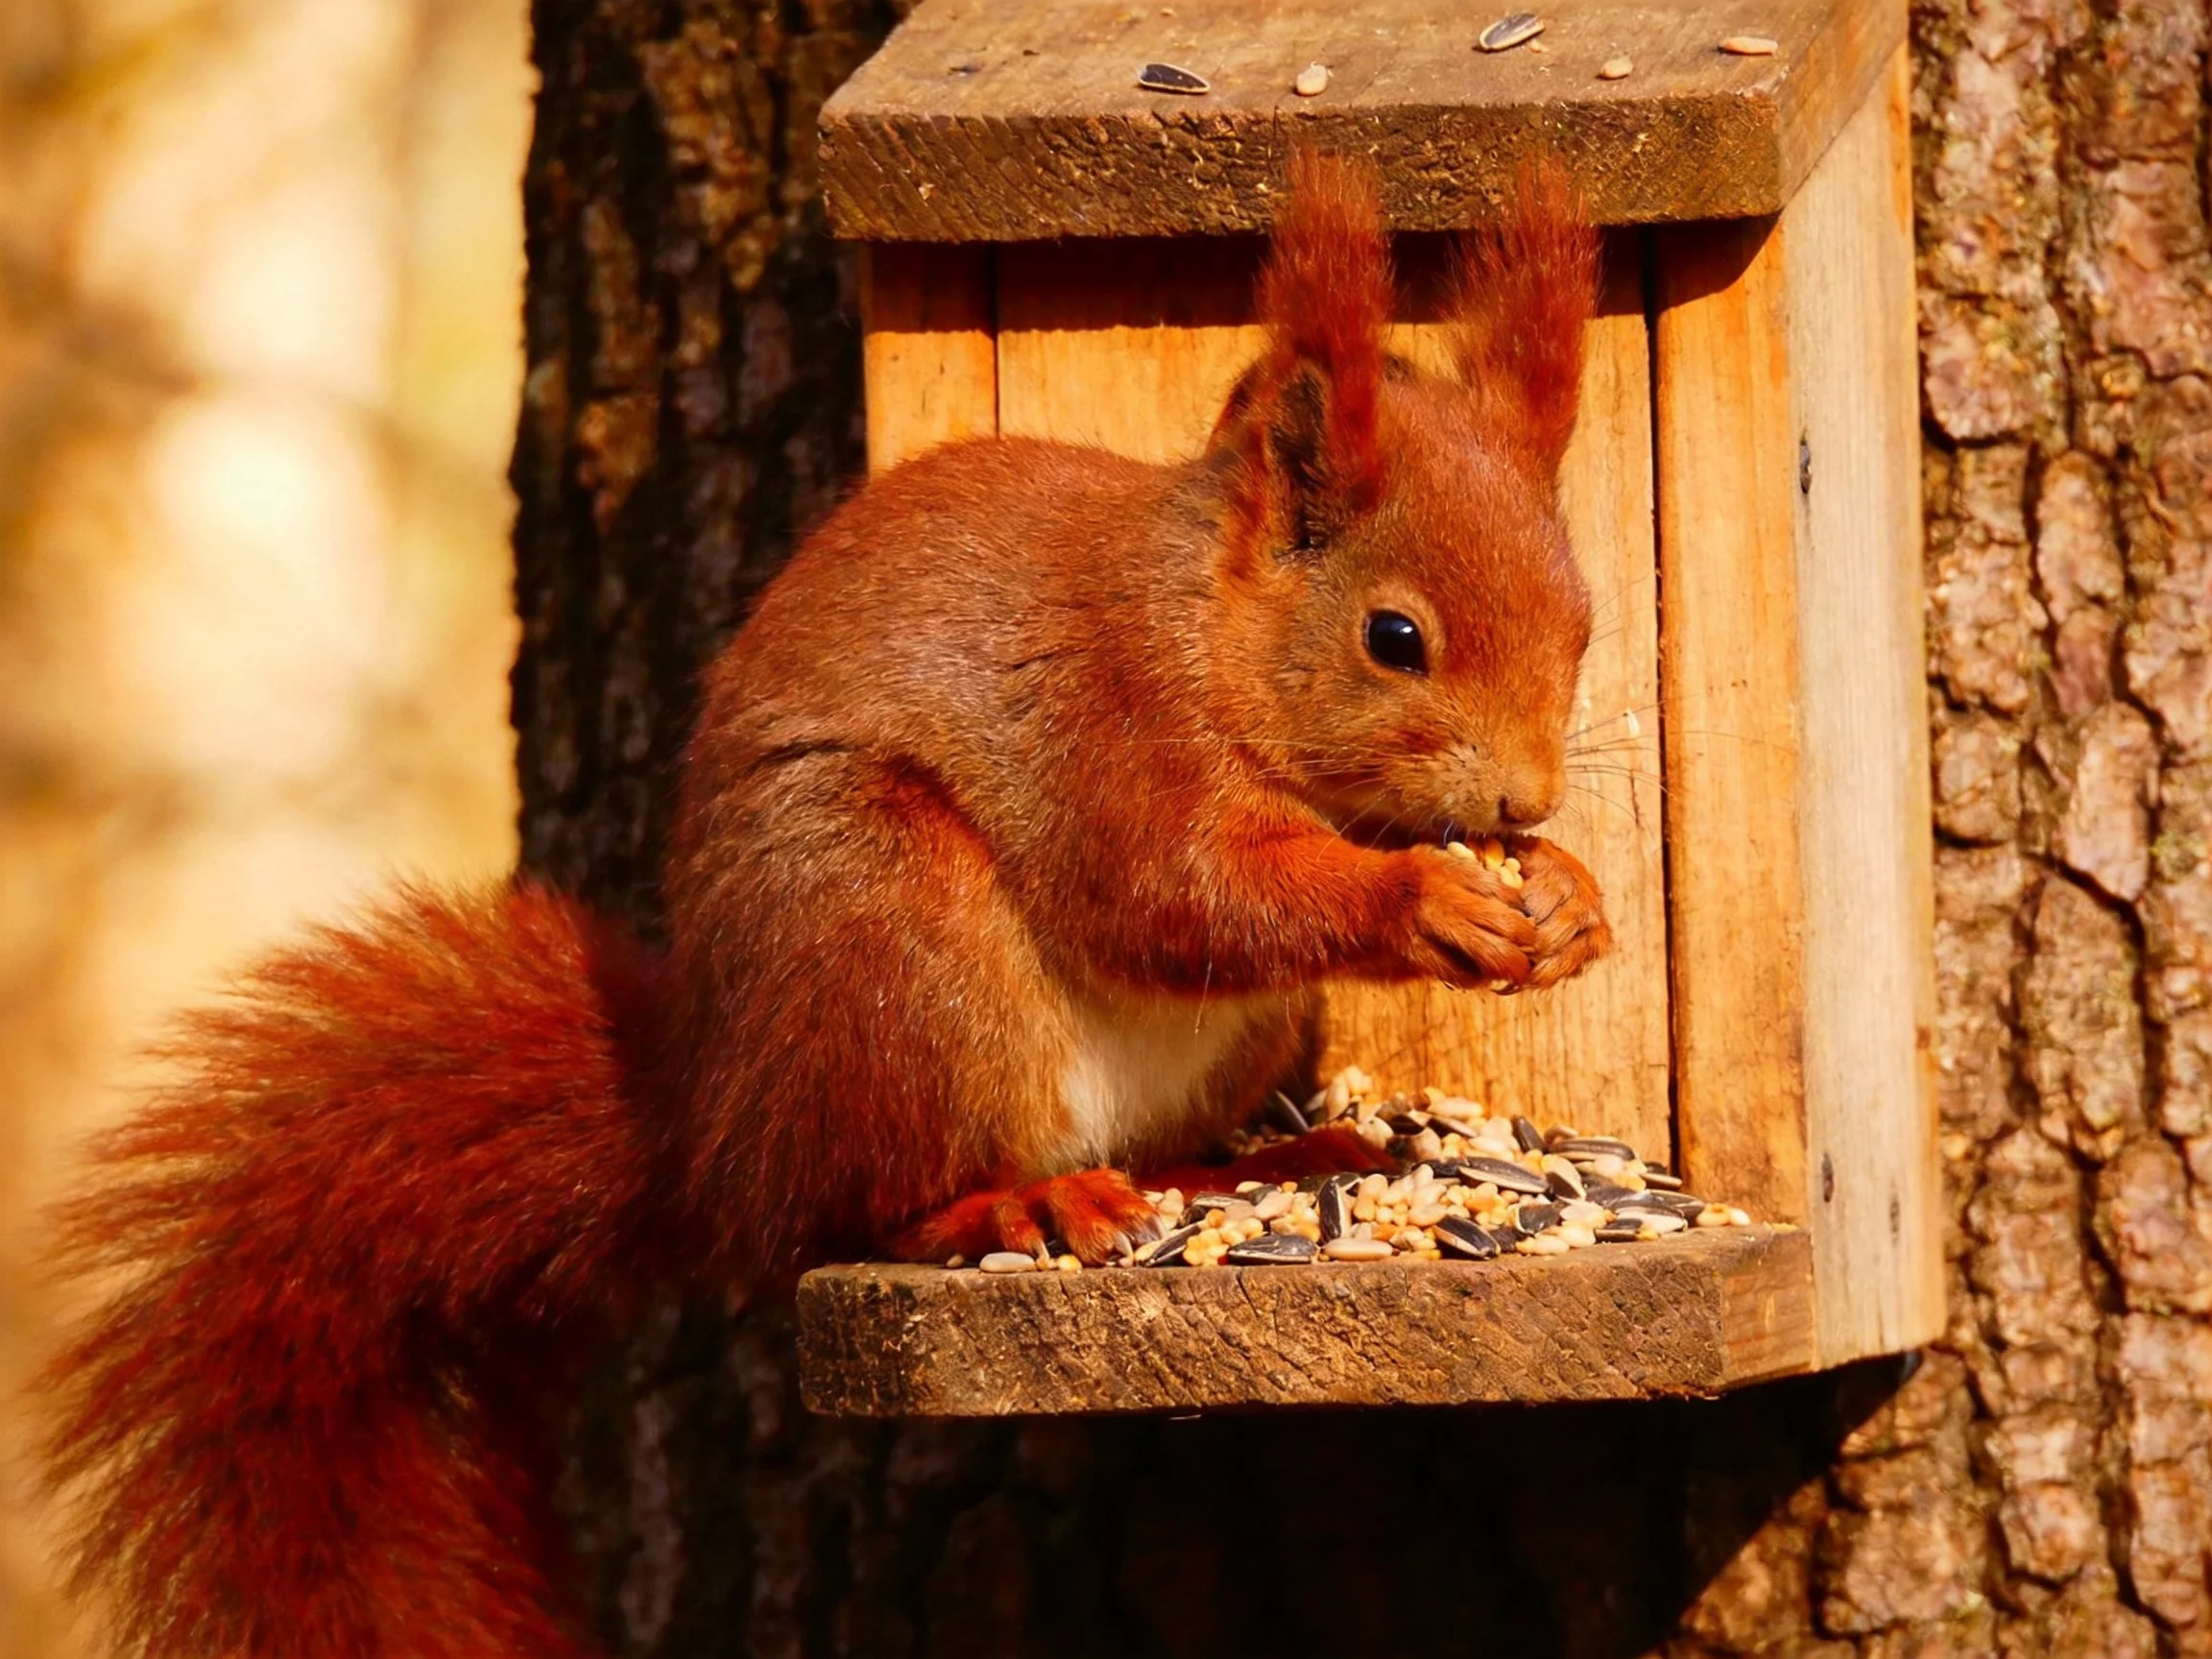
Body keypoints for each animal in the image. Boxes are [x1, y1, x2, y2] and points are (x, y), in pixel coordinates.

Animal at [37, 151, 1611, 1658]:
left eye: (1588, 622)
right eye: (1394, 637)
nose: (1523, 802)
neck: (1209, 629)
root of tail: (716, 1125)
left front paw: (1572, 900)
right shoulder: (1108, 728)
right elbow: (1176, 895)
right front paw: (1428, 899)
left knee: (1148, 1153)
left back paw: (1265, 1166)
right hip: (883, 927)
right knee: (861, 1210)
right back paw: (1019, 1202)